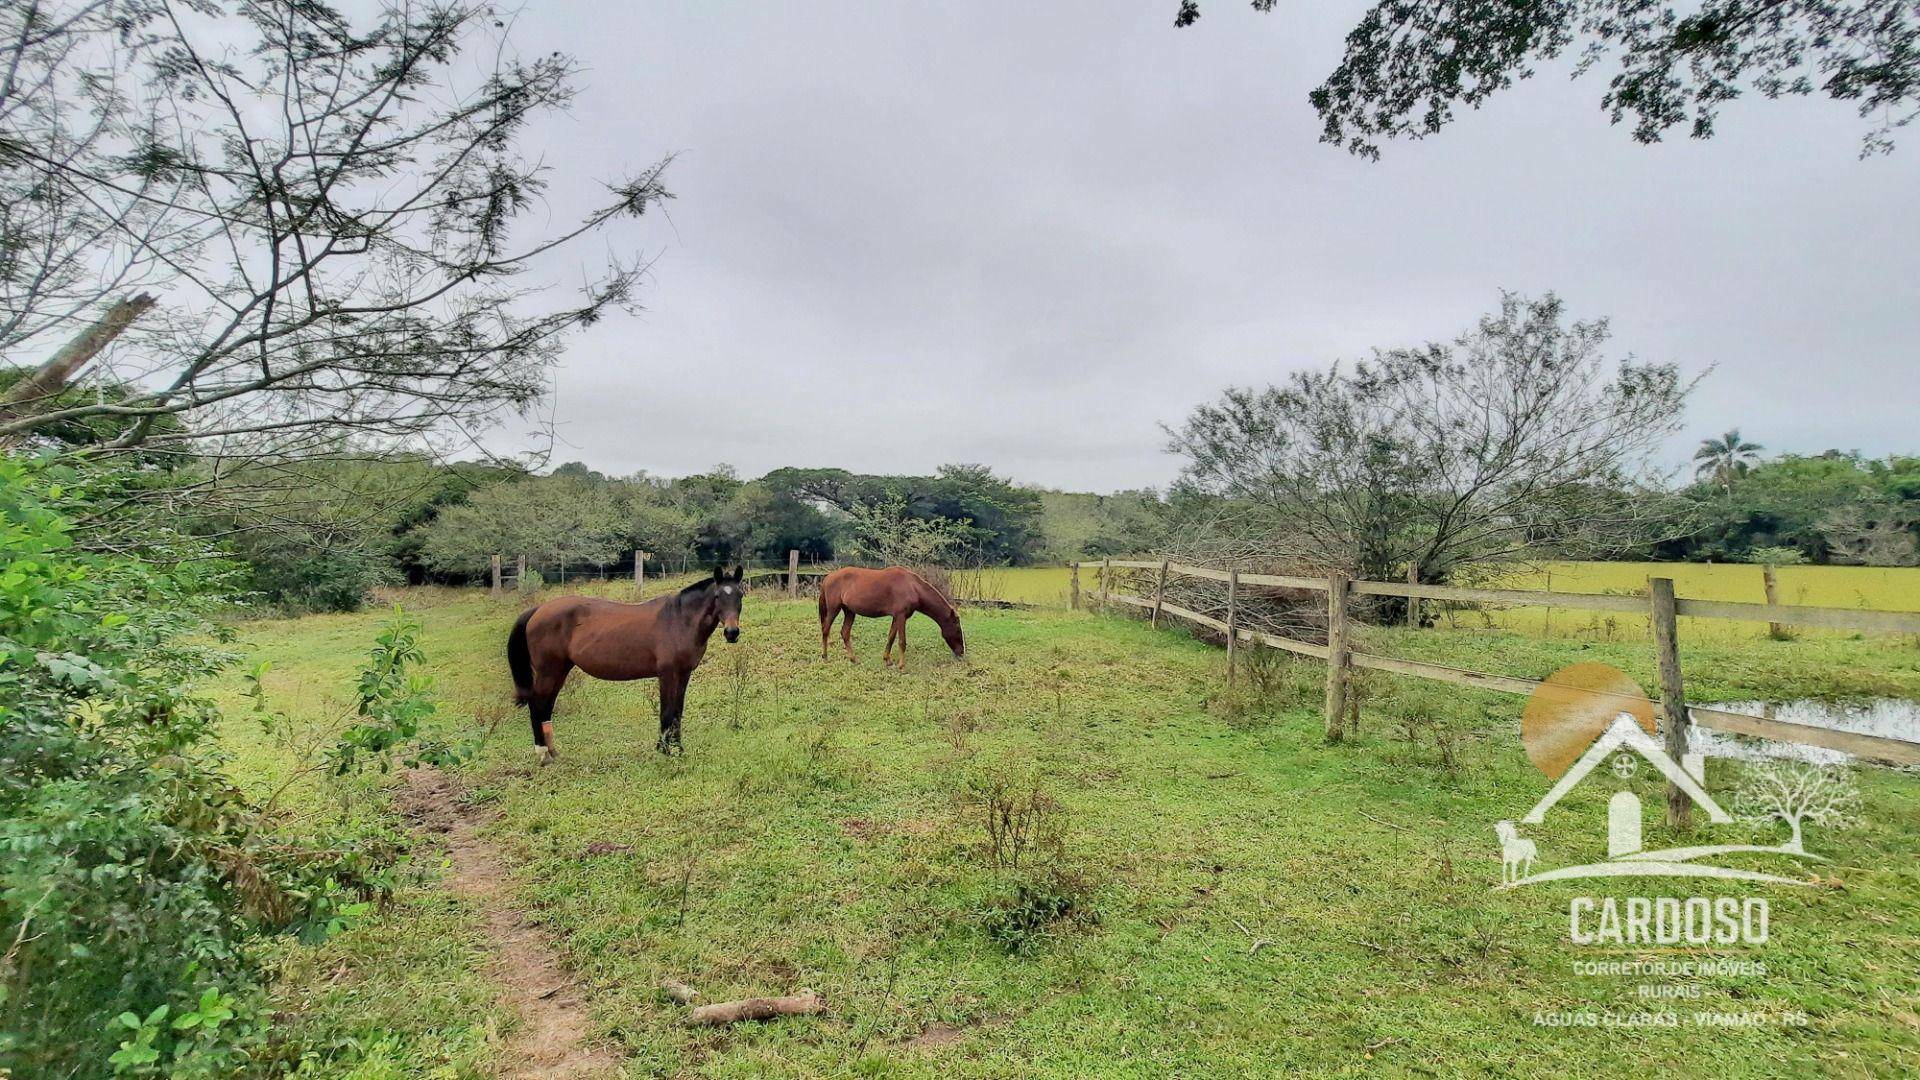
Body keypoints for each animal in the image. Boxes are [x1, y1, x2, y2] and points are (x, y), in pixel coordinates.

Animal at [506, 564, 744, 757]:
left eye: (740, 595)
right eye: (718, 596)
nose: (732, 633)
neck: (678, 619)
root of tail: (538, 610)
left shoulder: (684, 673)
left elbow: (678, 711)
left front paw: (678, 749)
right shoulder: (667, 674)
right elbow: (667, 712)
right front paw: (664, 750)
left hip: (559, 670)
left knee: (546, 706)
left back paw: (553, 752)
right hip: (548, 671)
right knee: (537, 704)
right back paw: (542, 753)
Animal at [814, 564, 960, 664]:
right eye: (958, 629)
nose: (961, 653)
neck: (912, 587)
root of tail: (828, 577)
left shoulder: (897, 616)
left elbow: (891, 637)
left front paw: (887, 660)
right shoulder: (901, 616)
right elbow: (902, 641)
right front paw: (901, 665)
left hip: (849, 611)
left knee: (845, 633)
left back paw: (853, 659)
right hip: (834, 609)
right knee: (825, 630)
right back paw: (825, 657)